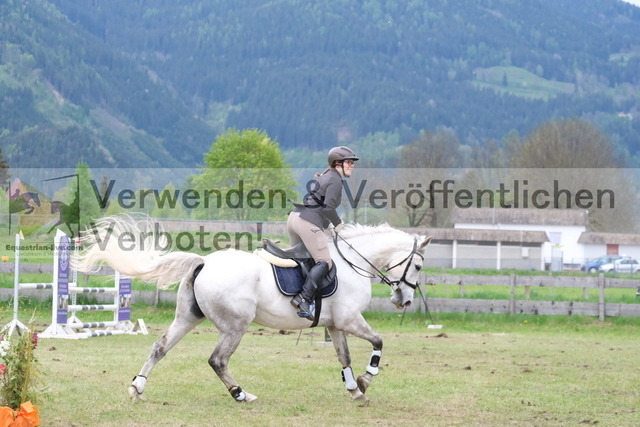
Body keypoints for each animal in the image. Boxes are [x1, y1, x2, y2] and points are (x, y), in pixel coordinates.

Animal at [73, 215, 431, 403]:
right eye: (417, 266)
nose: (404, 301)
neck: (352, 261)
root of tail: (204, 261)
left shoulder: (334, 324)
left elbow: (343, 356)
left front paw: (355, 391)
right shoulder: (349, 319)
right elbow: (378, 342)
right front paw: (366, 380)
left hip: (188, 317)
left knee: (160, 347)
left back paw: (137, 387)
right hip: (236, 324)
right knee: (217, 360)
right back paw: (240, 394)